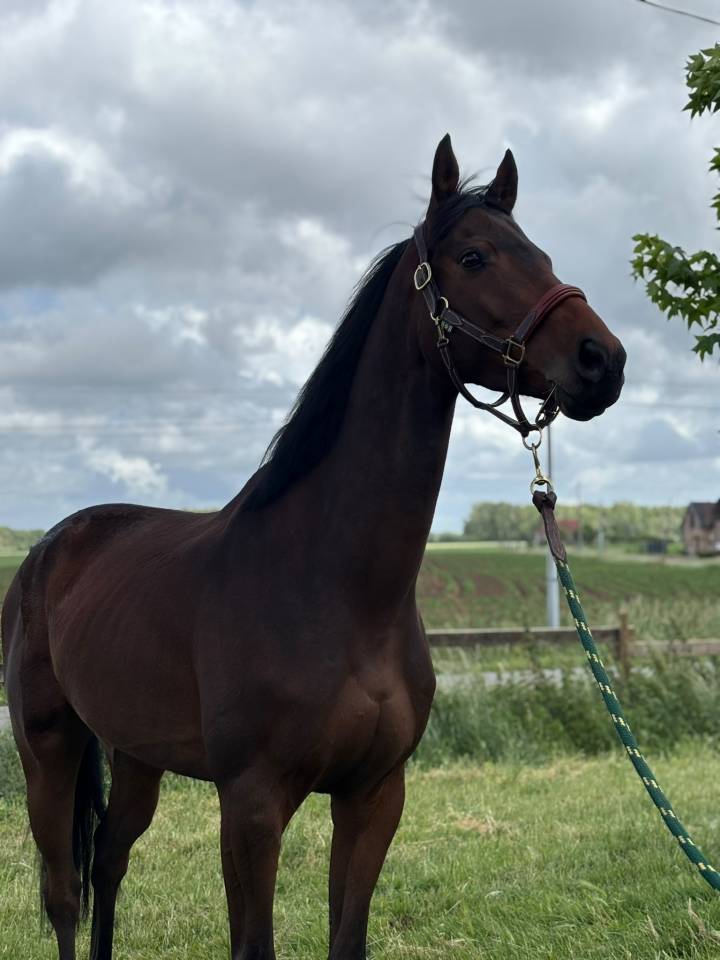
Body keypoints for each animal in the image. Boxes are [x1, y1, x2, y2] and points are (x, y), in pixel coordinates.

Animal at [1, 134, 625, 960]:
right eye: (475, 257)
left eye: (543, 254)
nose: (602, 360)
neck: (336, 586)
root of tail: (51, 548)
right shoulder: (252, 805)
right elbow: (252, 944)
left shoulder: (373, 796)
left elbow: (347, 937)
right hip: (48, 748)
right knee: (64, 893)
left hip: (136, 754)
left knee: (108, 862)